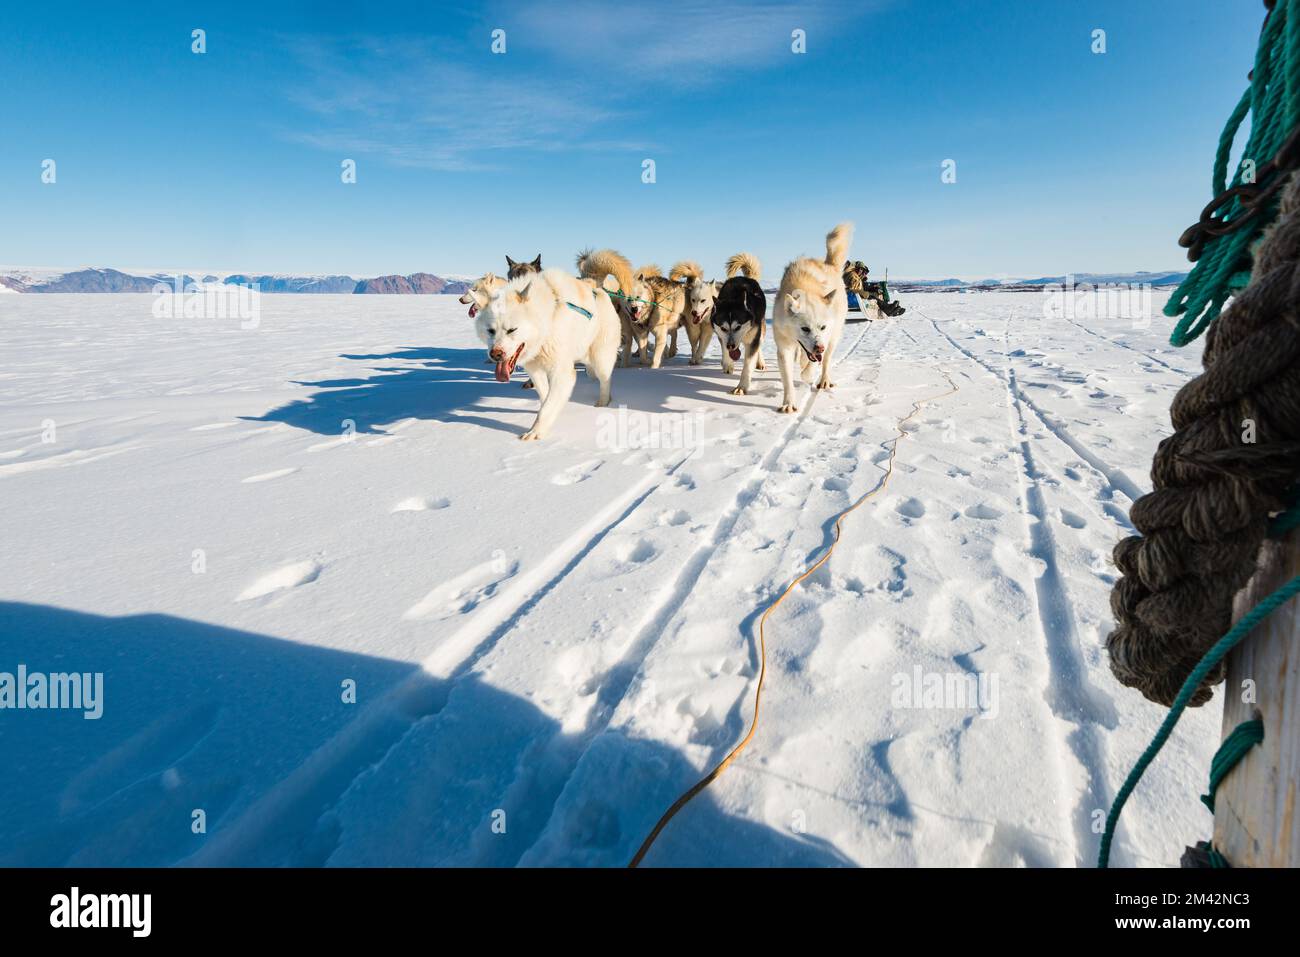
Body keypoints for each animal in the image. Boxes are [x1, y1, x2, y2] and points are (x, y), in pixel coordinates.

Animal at [769, 222, 852, 413]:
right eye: (805, 328)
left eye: (822, 327)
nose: (819, 348)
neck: (804, 287)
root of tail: (829, 265)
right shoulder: (784, 348)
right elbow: (788, 379)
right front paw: (789, 404)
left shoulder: (824, 339)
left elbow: (811, 367)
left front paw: (808, 376)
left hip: (834, 337)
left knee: (826, 361)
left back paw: (824, 380)